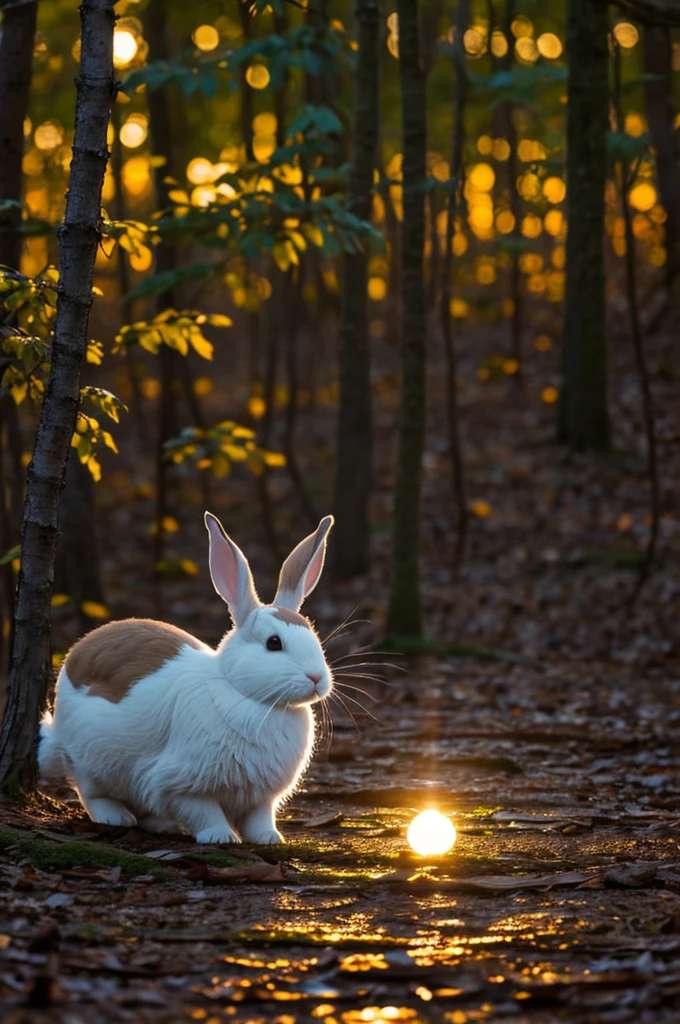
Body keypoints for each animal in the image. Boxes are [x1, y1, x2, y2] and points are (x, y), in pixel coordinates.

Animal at [39, 516, 333, 843]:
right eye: (274, 643)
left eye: (314, 637)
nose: (317, 678)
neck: (243, 693)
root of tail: (78, 651)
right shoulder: (179, 783)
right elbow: (203, 812)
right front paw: (220, 837)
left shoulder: (260, 797)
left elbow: (259, 818)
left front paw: (269, 838)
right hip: (91, 760)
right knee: (90, 792)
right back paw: (115, 817)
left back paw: (159, 824)